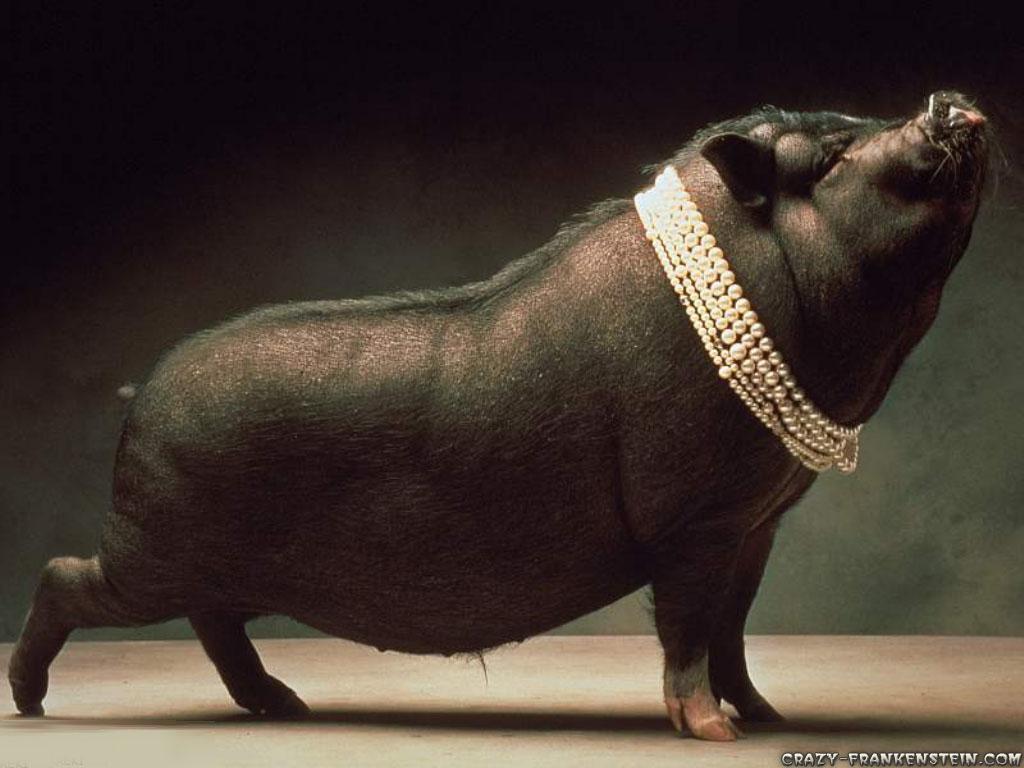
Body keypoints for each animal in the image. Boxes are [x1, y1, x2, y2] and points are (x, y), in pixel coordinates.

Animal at [8, 92, 988, 741]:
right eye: (829, 158)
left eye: (853, 121)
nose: (950, 101)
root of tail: (141, 394)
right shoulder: (693, 523)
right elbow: (687, 625)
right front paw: (713, 732)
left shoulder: (756, 525)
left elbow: (734, 629)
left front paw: (767, 717)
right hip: (153, 550)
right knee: (65, 576)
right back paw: (32, 704)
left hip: (204, 565)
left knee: (215, 626)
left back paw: (285, 703)